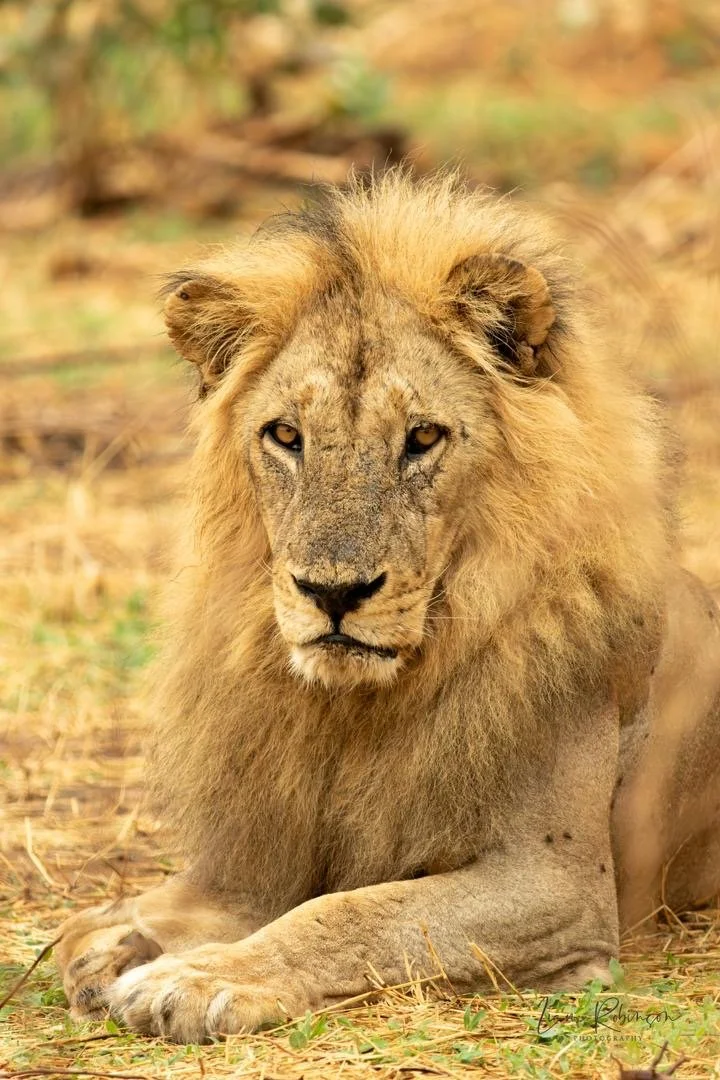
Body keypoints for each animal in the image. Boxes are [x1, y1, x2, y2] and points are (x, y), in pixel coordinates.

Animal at [55, 171, 720, 1043]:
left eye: (423, 437)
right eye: (285, 435)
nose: (333, 593)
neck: (354, 709)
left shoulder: (559, 883)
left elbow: (351, 913)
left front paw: (198, 979)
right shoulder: (275, 846)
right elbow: (202, 900)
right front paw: (118, 935)